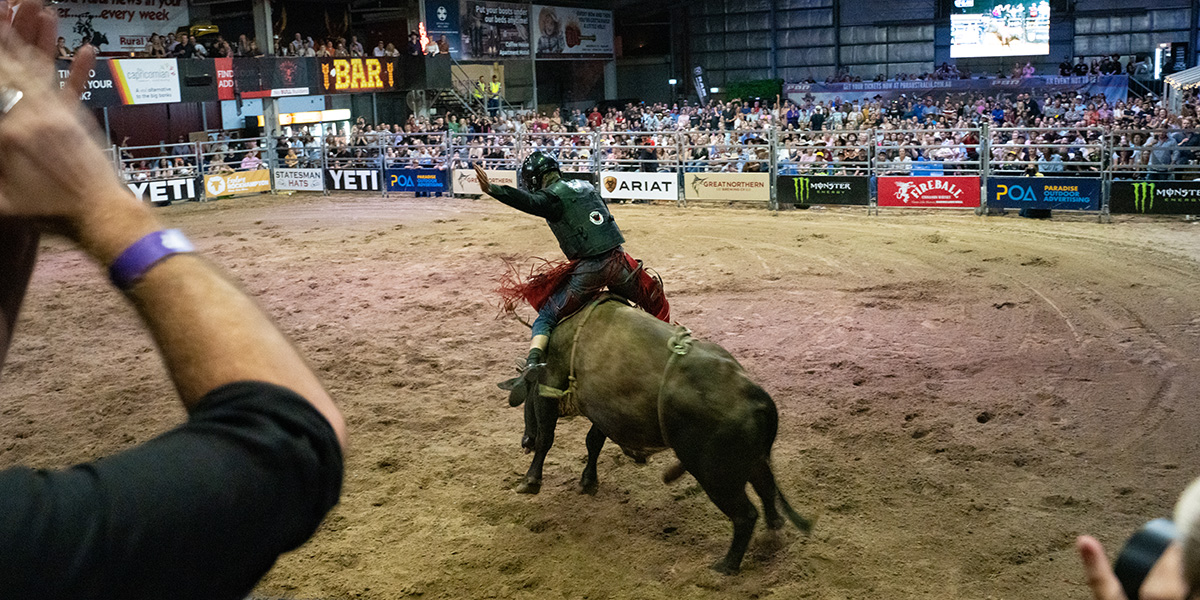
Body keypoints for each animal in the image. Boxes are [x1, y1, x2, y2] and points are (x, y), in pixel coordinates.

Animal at [496, 292, 816, 573]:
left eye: (526, 400)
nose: (525, 440)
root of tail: (755, 395)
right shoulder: (601, 409)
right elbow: (593, 442)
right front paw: (588, 481)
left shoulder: (549, 389)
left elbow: (548, 439)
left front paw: (530, 481)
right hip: (751, 461)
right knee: (767, 489)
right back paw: (772, 535)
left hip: (716, 476)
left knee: (745, 515)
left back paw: (726, 566)